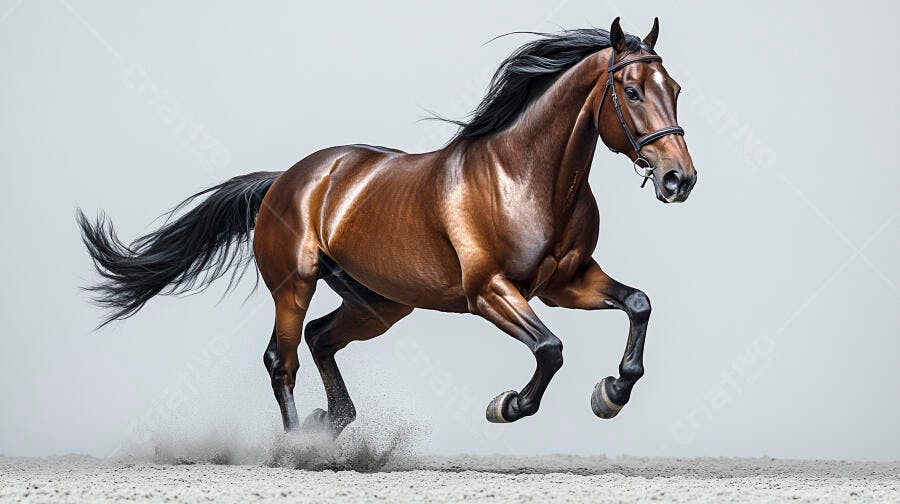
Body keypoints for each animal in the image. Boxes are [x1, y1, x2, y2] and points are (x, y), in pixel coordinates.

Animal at [77, 18, 696, 436]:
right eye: (632, 91)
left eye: (675, 90)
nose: (679, 178)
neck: (525, 178)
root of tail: (288, 180)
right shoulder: (490, 291)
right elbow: (550, 348)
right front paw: (508, 406)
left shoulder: (567, 283)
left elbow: (638, 304)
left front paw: (611, 392)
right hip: (295, 285)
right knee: (283, 358)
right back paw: (299, 443)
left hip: (379, 303)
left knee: (320, 338)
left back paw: (332, 425)